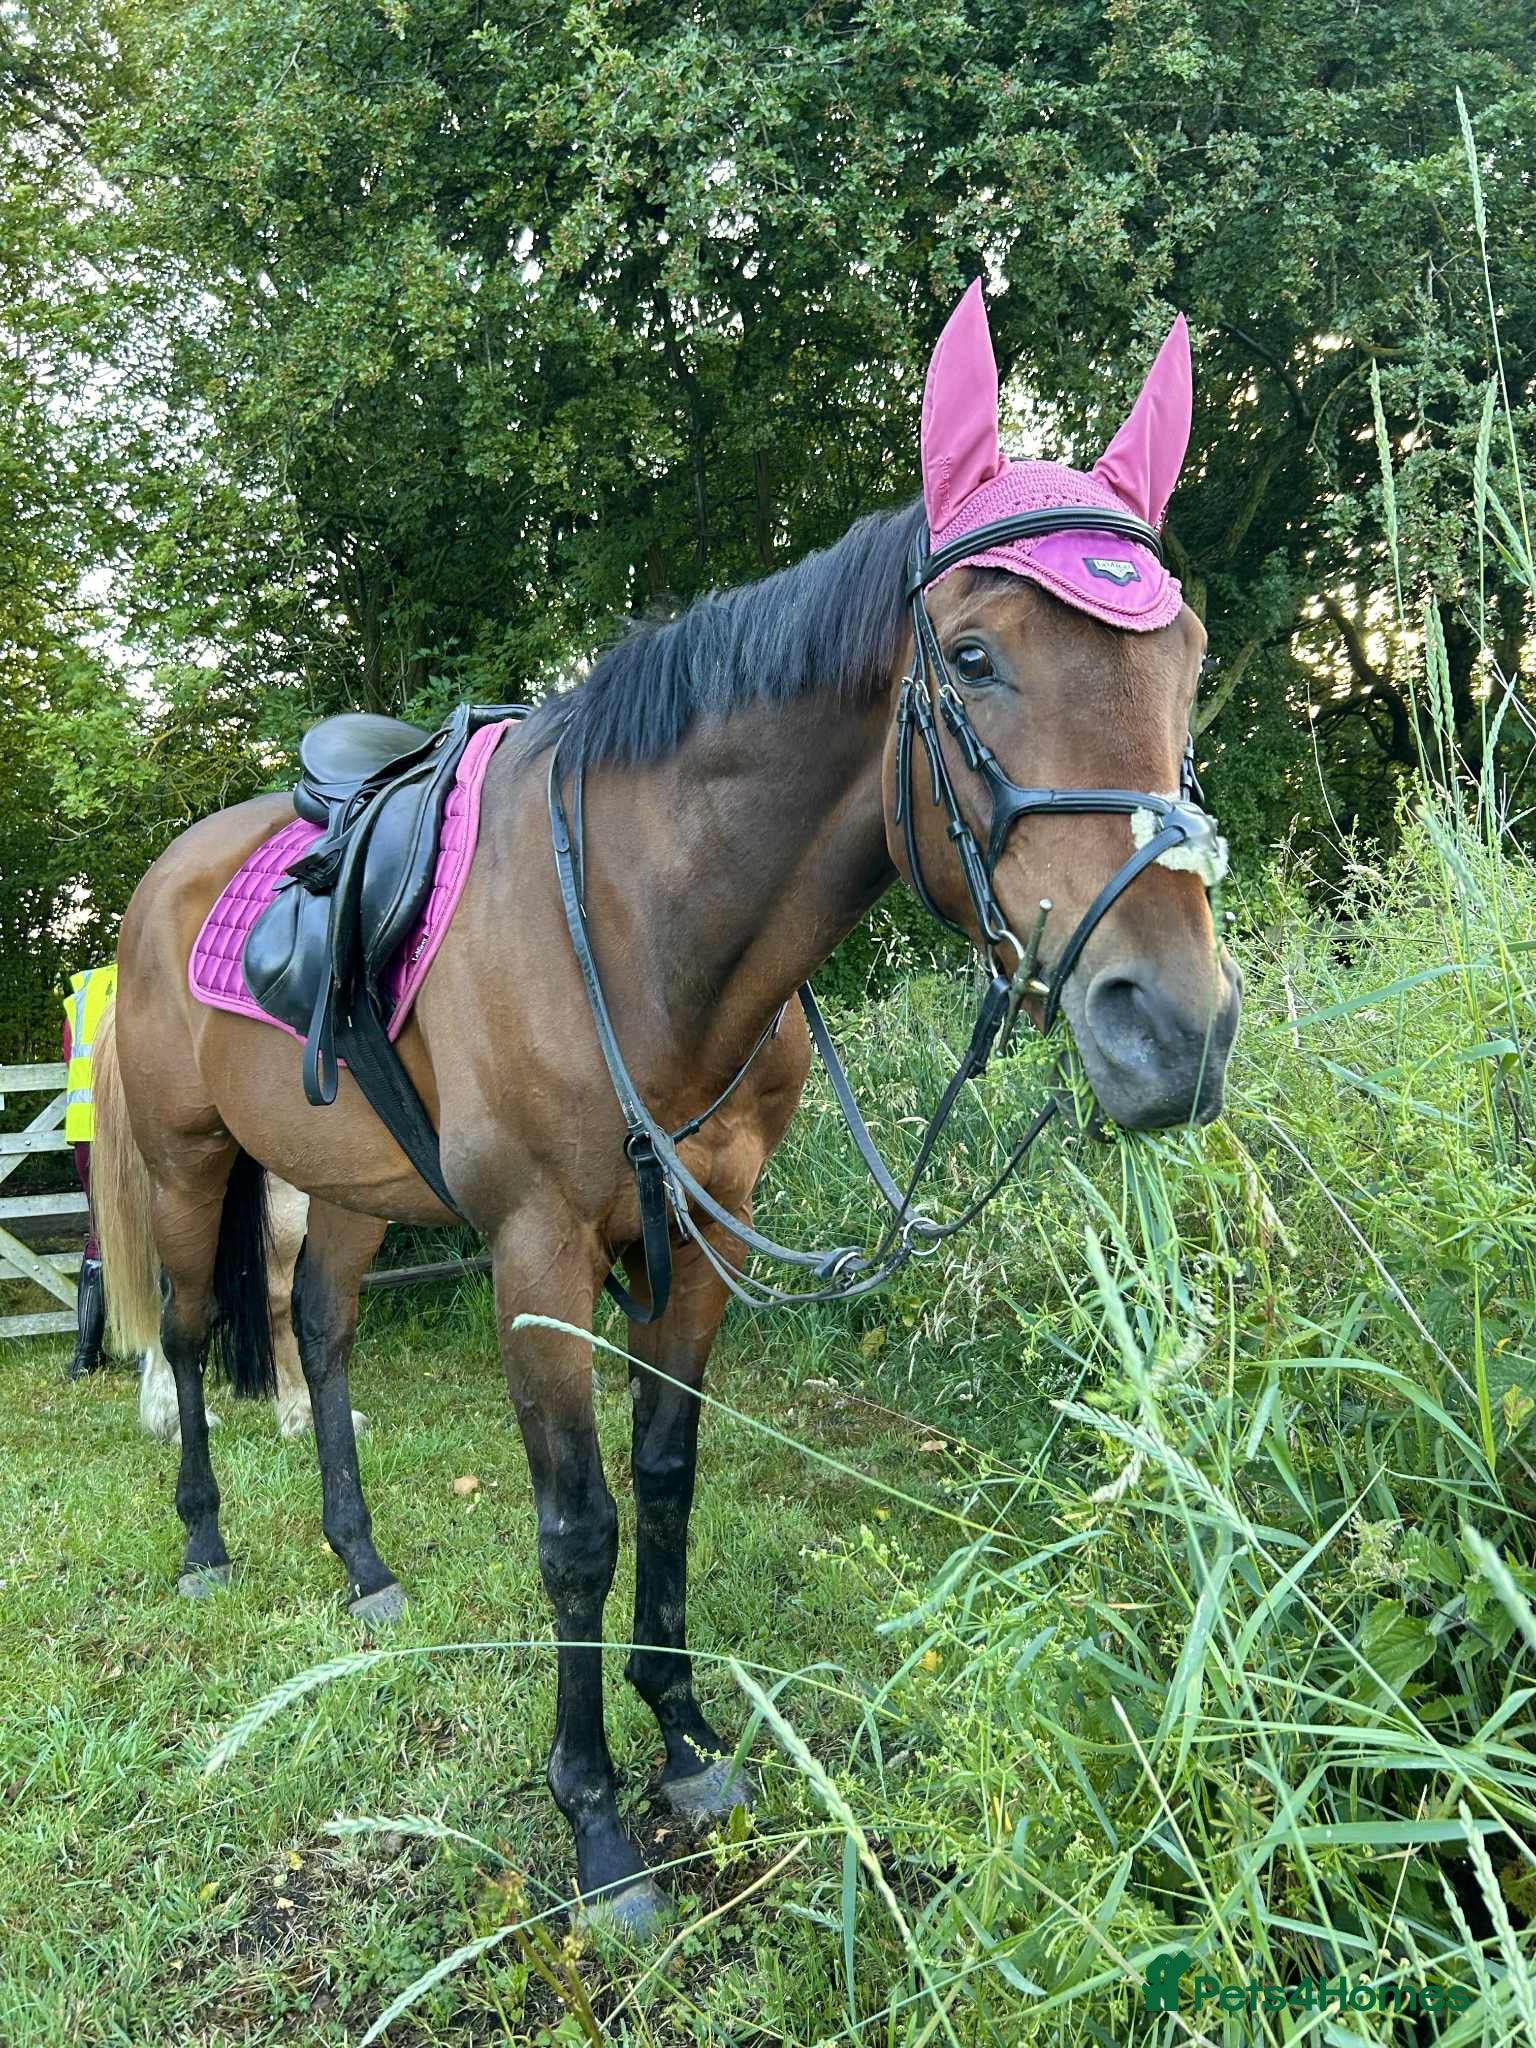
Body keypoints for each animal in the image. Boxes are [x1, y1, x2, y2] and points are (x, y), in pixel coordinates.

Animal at [90, 284, 1241, 1930]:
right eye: (971, 656)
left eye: (1187, 655)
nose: (1177, 1029)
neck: (644, 919)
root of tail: (164, 878)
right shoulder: (536, 1252)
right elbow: (578, 1529)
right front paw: (593, 1824)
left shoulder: (704, 1238)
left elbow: (670, 1479)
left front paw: (686, 1738)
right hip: (191, 1169)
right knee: (190, 1337)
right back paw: (206, 1544)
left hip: (355, 1190)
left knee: (320, 1327)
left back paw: (361, 1563)